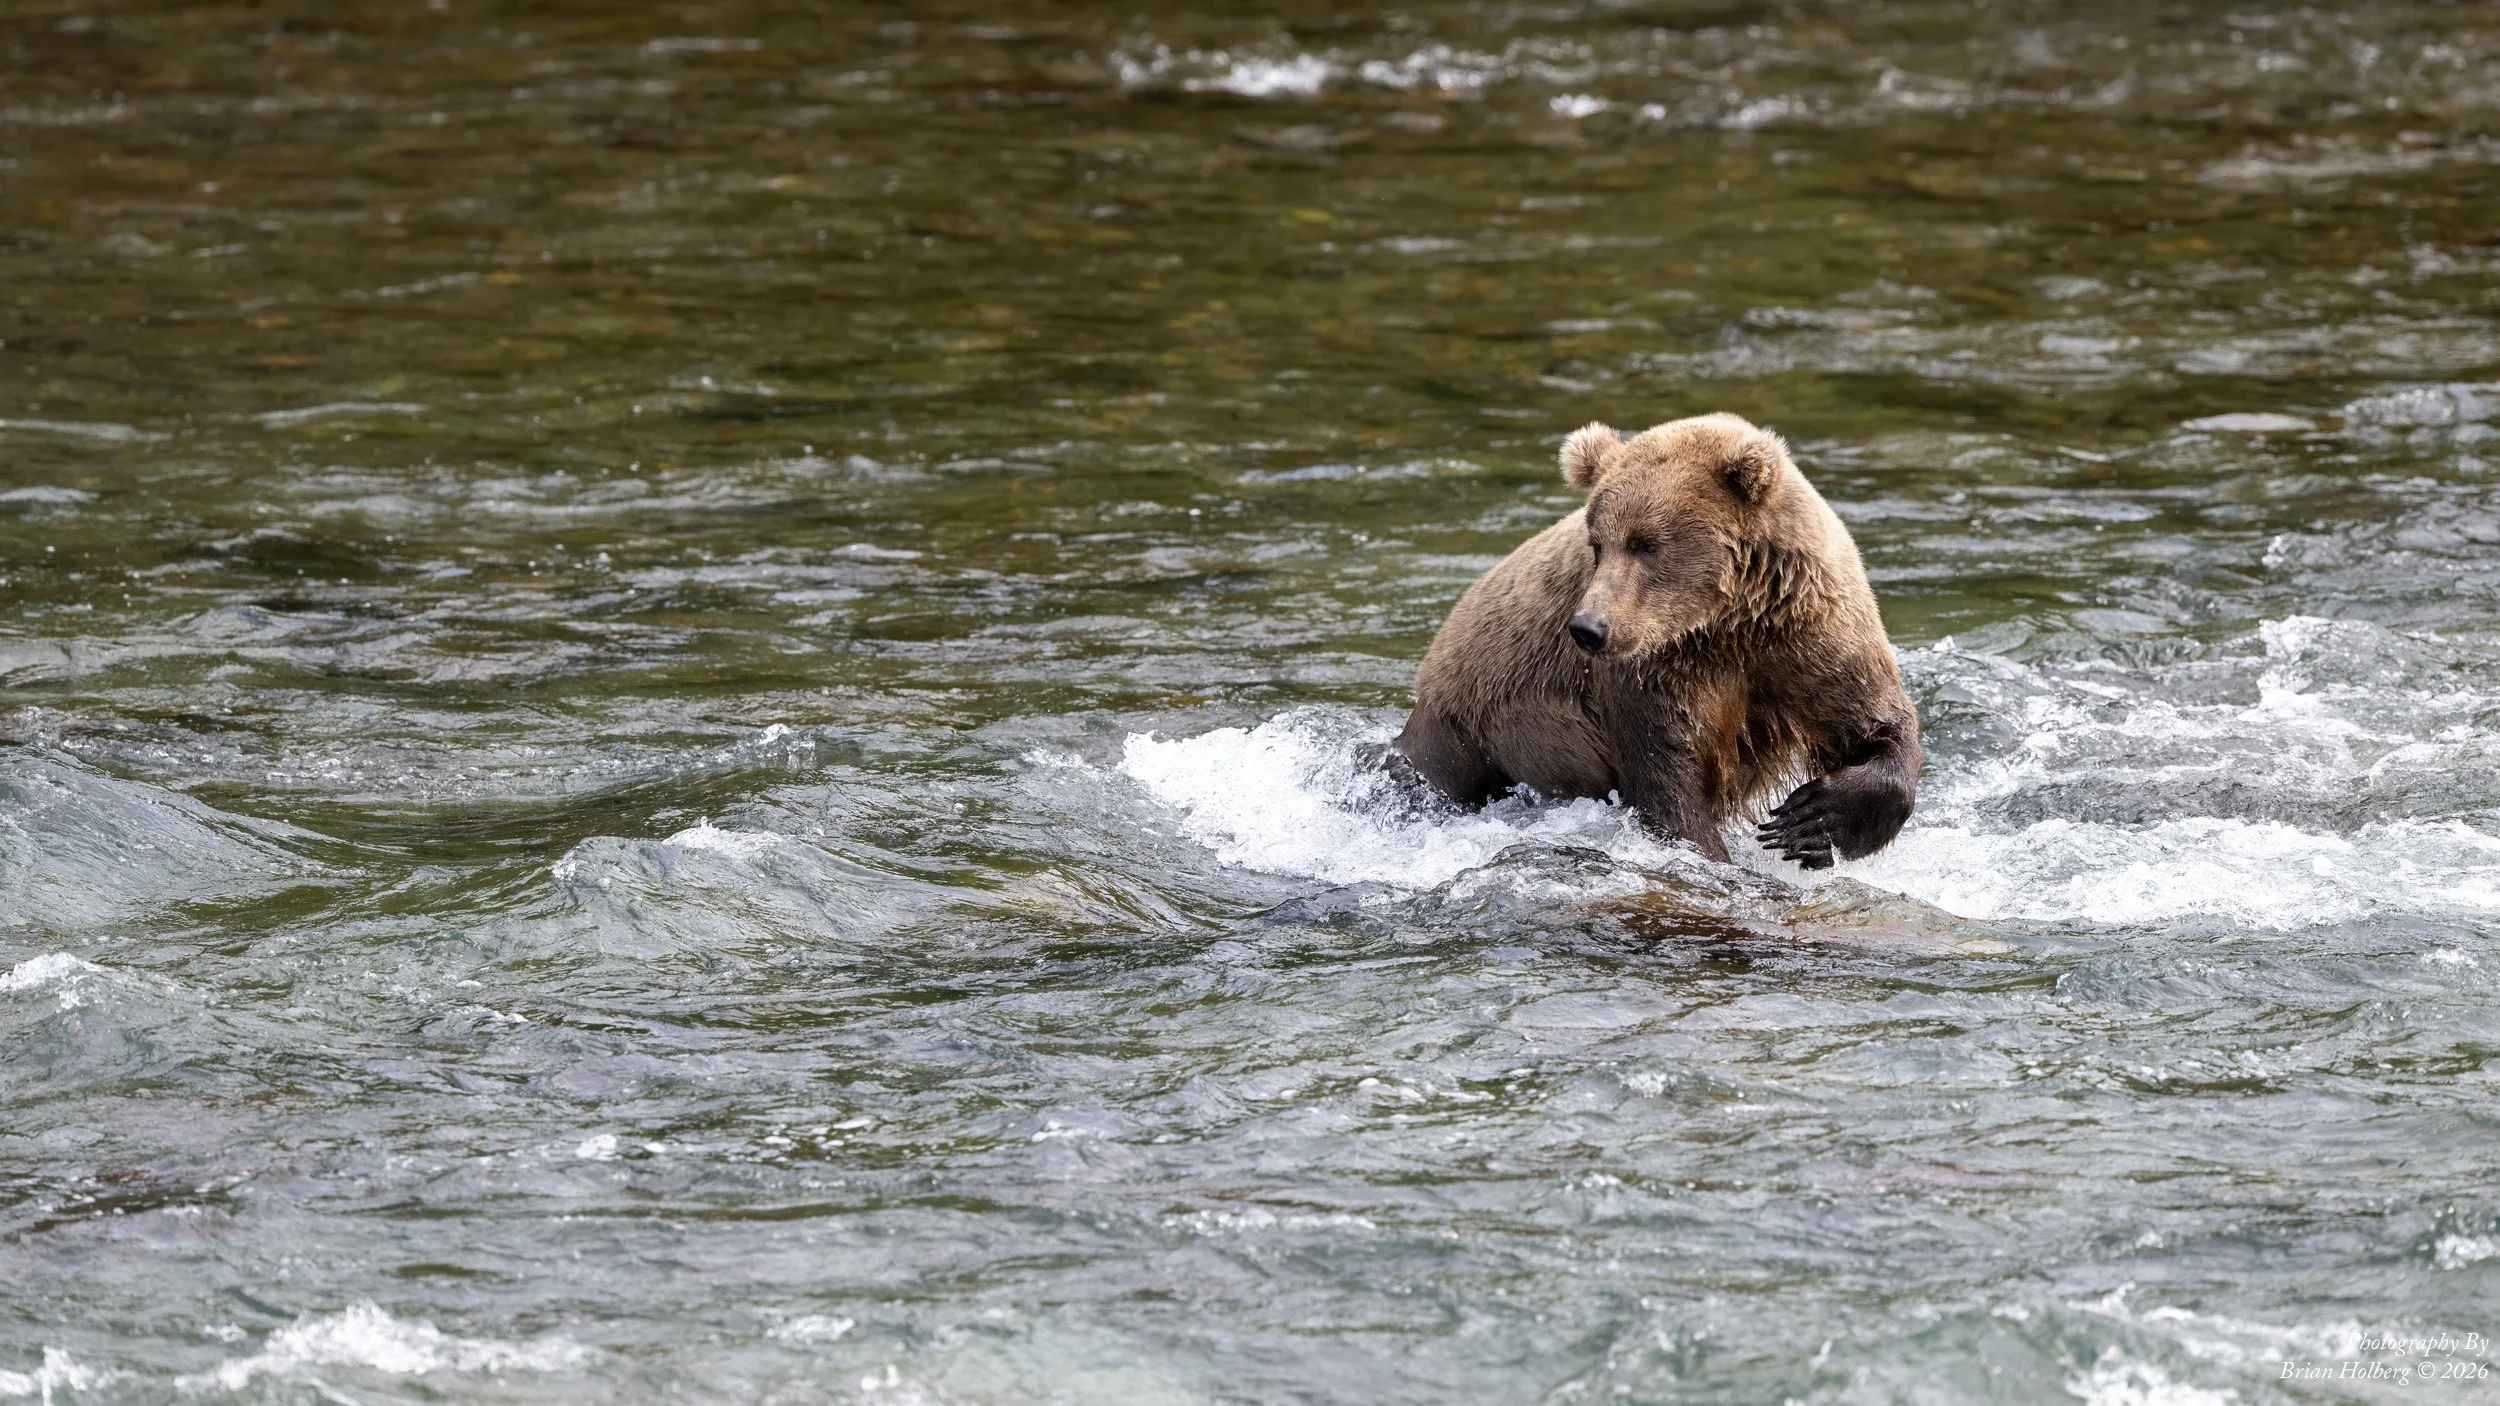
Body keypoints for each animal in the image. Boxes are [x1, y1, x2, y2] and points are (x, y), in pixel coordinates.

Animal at [1392, 412, 1919, 869]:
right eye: (1598, 543)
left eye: (1646, 543)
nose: (1588, 628)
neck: (1725, 620)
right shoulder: (1648, 674)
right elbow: (1667, 784)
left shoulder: (1804, 633)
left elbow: (1873, 723)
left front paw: (1810, 821)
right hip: (1469, 727)